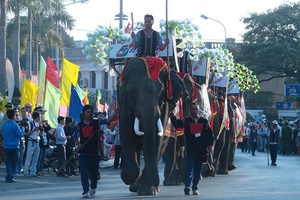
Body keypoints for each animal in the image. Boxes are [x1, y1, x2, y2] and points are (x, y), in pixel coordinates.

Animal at [117, 56, 188, 195]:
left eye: (161, 92)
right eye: (132, 93)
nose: (157, 184)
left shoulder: (165, 106)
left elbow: (157, 138)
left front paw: (147, 190)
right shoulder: (123, 105)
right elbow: (126, 133)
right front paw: (132, 176)